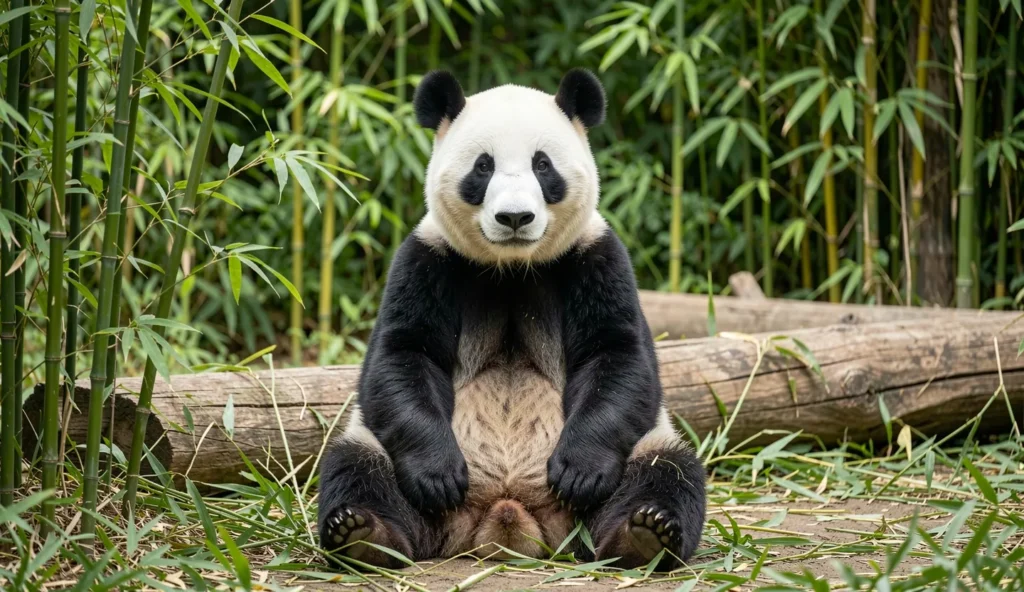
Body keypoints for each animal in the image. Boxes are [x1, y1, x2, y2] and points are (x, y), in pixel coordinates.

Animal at [318, 69, 707, 570]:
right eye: (483, 167)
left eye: (543, 166)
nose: (515, 217)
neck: (512, 267)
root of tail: (506, 515)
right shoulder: (426, 259)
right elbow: (402, 355)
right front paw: (438, 476)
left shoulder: (596, 257)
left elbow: (617, 356)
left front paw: (578, 472)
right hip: (373, 444)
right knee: (354, 467)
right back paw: (363, 533)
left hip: (646, 443)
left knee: (670, 470)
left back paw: (645, 533)